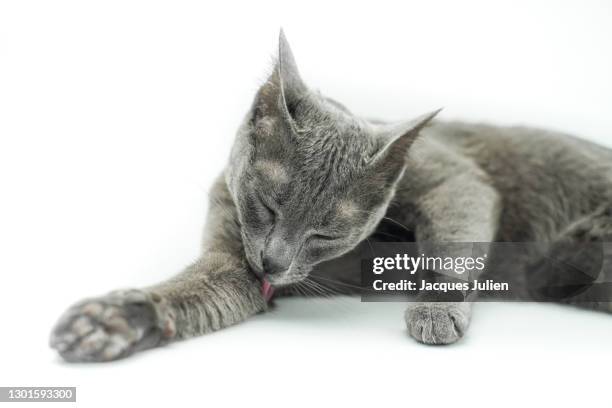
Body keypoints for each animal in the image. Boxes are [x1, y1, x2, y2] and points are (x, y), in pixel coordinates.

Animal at [49, 32, 612, 364]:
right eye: (267, 205)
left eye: (326, 232)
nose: (273, 263)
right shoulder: (234, 262)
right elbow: (195, 291)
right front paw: (111, 321)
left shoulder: (453, 176)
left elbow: (453, 243)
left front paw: (435, 310)